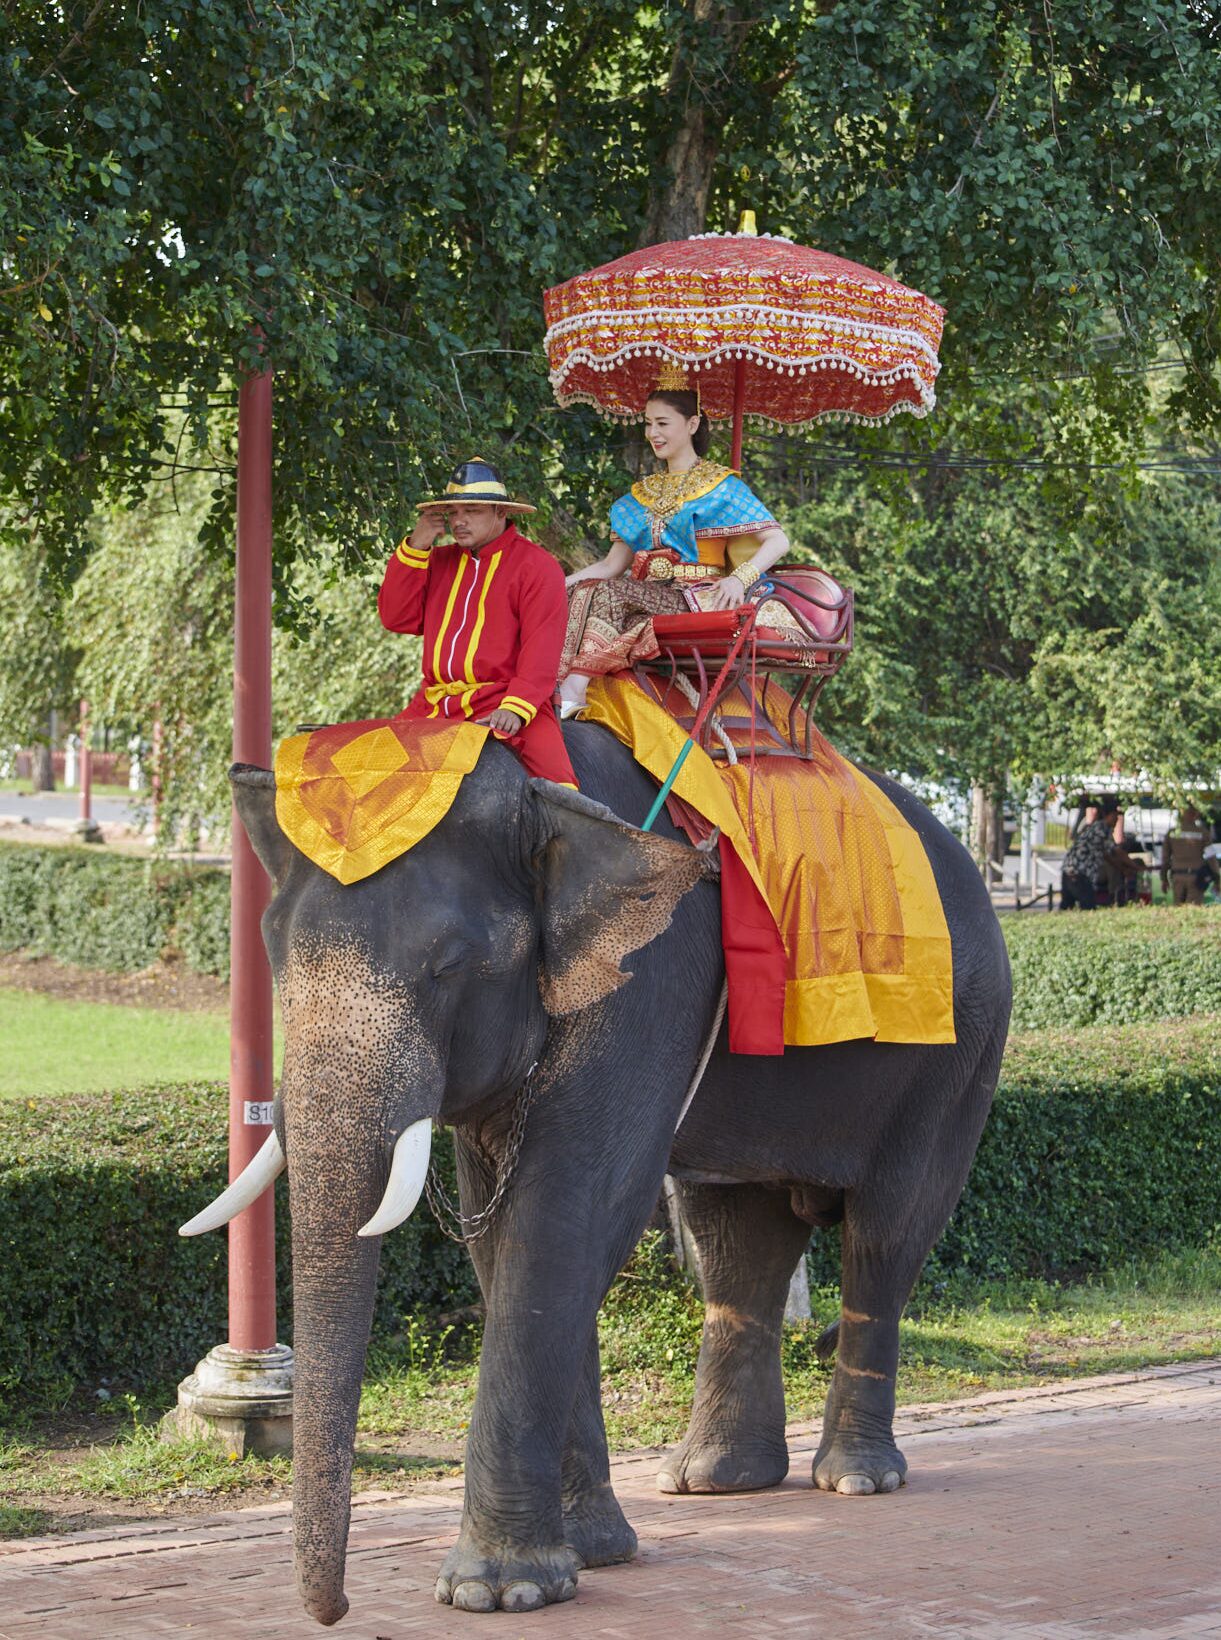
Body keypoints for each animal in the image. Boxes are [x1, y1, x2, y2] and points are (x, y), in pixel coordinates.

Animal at [197, 719, 1010, 1625]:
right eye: (269, 953)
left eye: (447, 967)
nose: (334, 1611)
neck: (538, 790)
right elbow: (504, 1236)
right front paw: (588, 1554)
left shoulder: (648, 982)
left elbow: (570, 1211)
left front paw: (498, 1590)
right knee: (738, 1244)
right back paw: (713, 1479)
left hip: (956, 1057)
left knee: (886, 1237)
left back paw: (855, 1477)